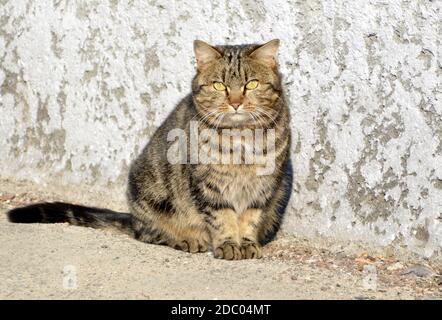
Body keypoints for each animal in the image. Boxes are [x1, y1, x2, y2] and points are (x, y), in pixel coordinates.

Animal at [6, 40, 294, 260]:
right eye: (219, 85)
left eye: (251, 84)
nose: (235, 102)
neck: (241, 139)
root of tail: (132, 217)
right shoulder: (208, 187)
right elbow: (221, 218)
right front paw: (228, 244)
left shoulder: (264, 187)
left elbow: (250, 218)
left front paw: (246, 243)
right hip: (148, 194)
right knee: (147, 233)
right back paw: (186, 239)